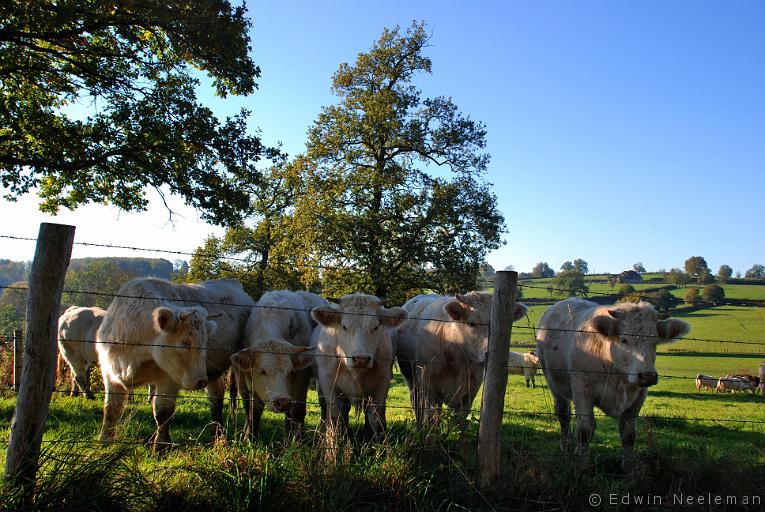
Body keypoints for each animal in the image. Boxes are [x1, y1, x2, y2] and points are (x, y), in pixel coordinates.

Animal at [233, 290, 328, 438]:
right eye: (262, 371)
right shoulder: (247, 376)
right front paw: (250, 437)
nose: (282, 402)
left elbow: (298, 409)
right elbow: (254, 408)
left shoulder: (302, 375)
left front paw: (298, 438)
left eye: (291, 372)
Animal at [308, 294, 408, 446]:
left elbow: (376, 417)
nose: (361, 359)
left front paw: (381, 446)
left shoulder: (382, 382)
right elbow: (334, 416)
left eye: (375, 327)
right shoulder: (328, 383)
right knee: (331, 409)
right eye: (344, 326)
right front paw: (331, 446)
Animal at [394, 292, 524, 428]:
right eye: (471, 323)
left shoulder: (472, 386)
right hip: (411, 379)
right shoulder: (427, 382)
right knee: (417, 402)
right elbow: (430, 414)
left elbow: (461, 419)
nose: (489, 353)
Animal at [536, 298, 688, 470]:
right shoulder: (582, 390)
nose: (648, 376)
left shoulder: (639, 396)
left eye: (655, 342)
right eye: (624, 340)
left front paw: (628, 467)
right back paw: (567, 447)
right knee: (564, 415)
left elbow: (629, 435)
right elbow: (584, 431)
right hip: (555, 384)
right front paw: (581, 464)